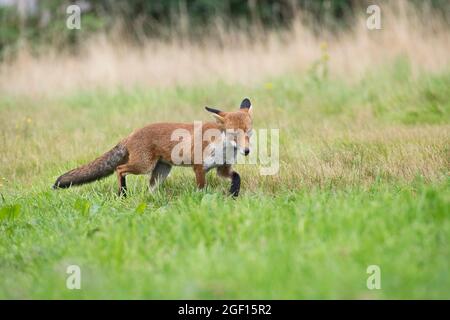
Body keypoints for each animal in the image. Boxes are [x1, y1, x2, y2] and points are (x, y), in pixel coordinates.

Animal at [52, 97, 253, 198]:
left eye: (249, 133)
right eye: (234, 134)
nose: (247, 151)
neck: (222, 147)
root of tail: (131, 134)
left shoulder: (222, 168)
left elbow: (237, 177)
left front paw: (234, 194)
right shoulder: (199, 168)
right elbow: (201, 188)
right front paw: (201, 200)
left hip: (160, 172)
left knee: (148, 189)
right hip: (144, 166)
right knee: (119, 169)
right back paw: (122, 194)